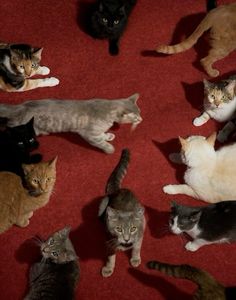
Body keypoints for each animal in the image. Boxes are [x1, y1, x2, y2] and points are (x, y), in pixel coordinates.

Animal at [0, 93, 141, 155]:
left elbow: (102, 136)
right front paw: (109, 149)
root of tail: (18, 107)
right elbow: (100, 142)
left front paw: (108, 136)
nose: (141, 119)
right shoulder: (88, 134)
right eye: (135, 118)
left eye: (139, 112)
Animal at [98, 149, 146, 278]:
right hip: (102, 205)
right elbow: (110, 257)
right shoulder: (109, 240)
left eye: (133, 228)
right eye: (118, 229)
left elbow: (137, 248)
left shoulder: (140, 233)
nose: (126, 239)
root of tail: (118, 190)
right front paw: (108, 268)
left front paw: (135, 258)